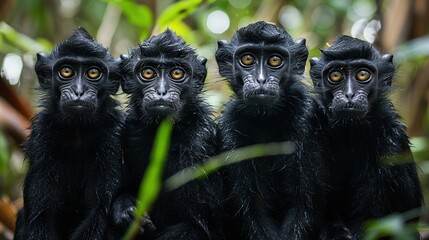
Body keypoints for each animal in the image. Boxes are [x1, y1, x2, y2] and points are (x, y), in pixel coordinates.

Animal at [14, 27, 122, 238]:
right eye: (66, 71)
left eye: (93, 72)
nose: (78, 92)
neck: (78, 131)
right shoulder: (41, 135)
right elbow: (42, 215)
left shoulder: (114, 137)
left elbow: (98, 211)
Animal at [112, 29, 222, 239]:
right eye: (148, 72)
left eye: (177, 73)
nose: (161, 91)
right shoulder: (128, 132)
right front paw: (126, 210)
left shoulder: (197, 144)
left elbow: (198, 228)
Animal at [216, 21, 326, 240]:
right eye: (247, 59)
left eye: (275, 60)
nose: (261, 80)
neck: (266, 119)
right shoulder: (231, 127)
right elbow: (253, 209)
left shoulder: (305, 117)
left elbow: (303, 205)